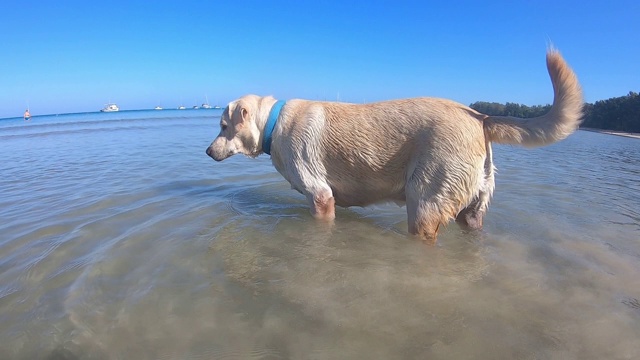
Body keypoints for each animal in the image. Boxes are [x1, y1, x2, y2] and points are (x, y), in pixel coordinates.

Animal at [208, 49, 584, 243]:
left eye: (223, 126)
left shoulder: (320, 195)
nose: (208, 152)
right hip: (473, 210)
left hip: (424, 204)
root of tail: (480, 116)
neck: (273, 124)